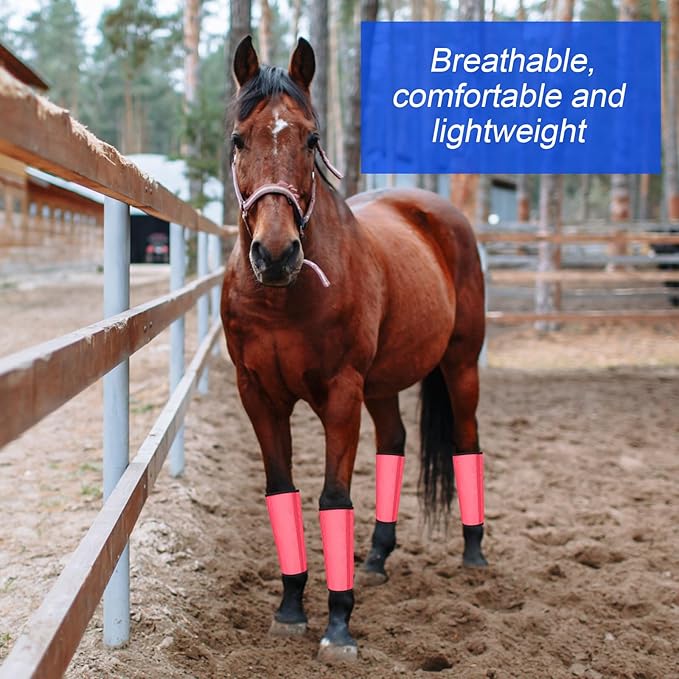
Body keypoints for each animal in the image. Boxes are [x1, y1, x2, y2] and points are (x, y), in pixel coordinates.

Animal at [220, 35, 487, 661]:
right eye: (239, 139)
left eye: (311, 139)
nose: (275, 254)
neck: (283, 297)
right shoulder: (258, 396)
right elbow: (282, 491)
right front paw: (291, 608)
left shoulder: (341, 394)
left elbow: (333, 498)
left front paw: (338, 624)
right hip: (383, 385)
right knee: (394, 442)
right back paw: (377, 557)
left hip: (461, 365)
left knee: (466, 440)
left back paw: (473, 552)